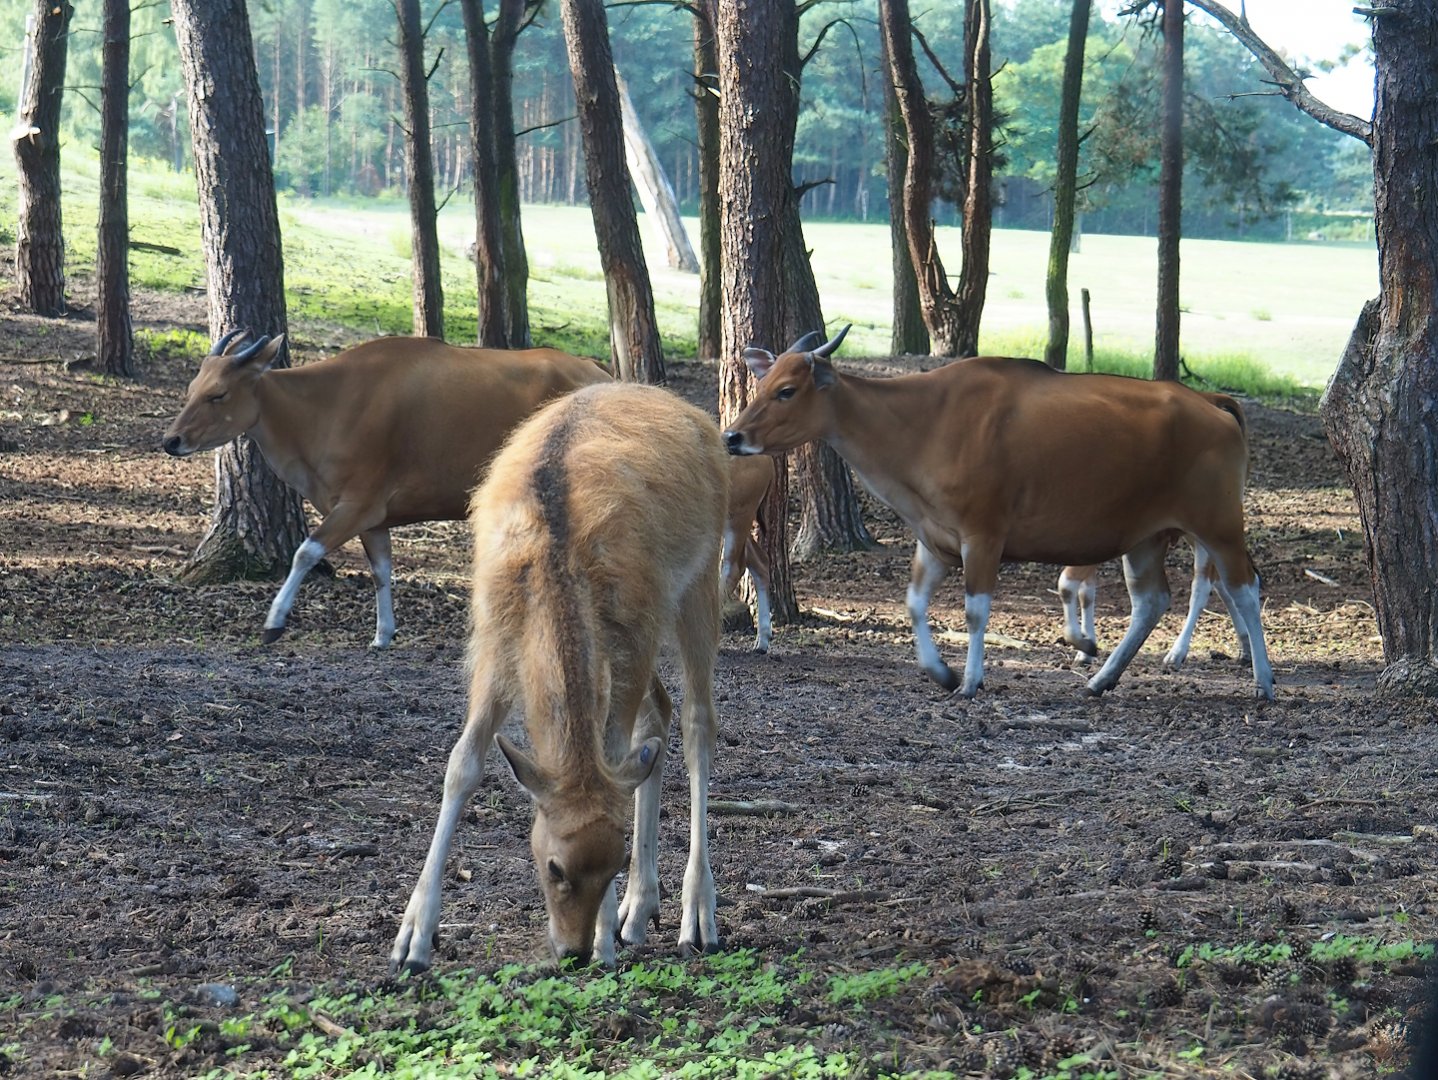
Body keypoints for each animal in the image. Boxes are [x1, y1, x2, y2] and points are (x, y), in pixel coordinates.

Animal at [161, 331, 609, 647]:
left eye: (218, 394)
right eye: (191, 389)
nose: (171, 440)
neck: (323, 408)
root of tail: (597, 371)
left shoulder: (357, 504)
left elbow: (305, 552)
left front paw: (274, 621)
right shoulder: (374, 518)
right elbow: (380, 570)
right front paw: (383, 633)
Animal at [390, 381, 727, 971]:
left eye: (611, 863)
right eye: (555, 868)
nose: (572, 950)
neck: (555, 555)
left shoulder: (632, 635)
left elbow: (614, 757)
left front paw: (606, 942)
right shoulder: (494, 641)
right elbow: (463, 761)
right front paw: (413, 939)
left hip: (701, 580)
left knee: (696, 723)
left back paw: (696, 918)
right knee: (659, 719)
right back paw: (639, 911)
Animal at [722, 325, 1274, 700]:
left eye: (787, 390)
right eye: (761, 384)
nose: (732, 436)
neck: (923, 423)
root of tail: (1215, 408)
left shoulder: (983, 535)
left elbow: (975, 609)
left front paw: (969, 679)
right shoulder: (935, 538)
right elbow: (914, 604)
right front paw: (940, 671)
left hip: (1218, 524)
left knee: (1244, 588)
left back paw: (1263, 680)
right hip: (1145, 538)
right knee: (1151, 602)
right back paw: (1101, 678)